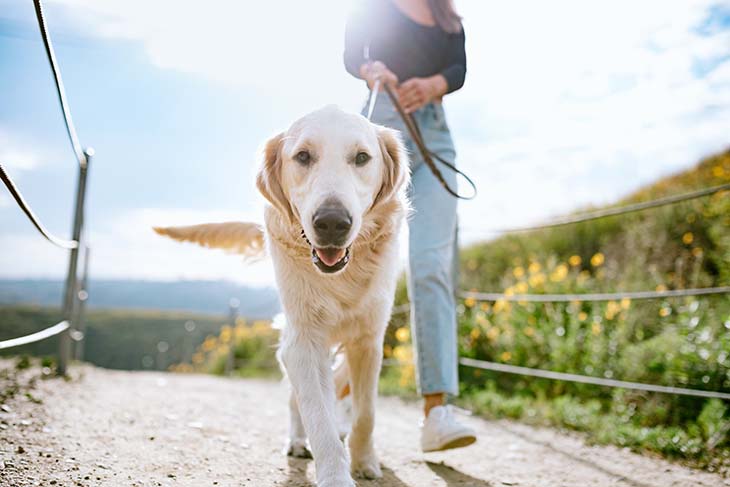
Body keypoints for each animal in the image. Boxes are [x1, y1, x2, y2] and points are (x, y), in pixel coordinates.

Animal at [154, 105, 406, 486]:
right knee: (297, 400)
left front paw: (364, 461)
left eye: (362, 157)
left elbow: (366, 413)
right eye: (303, 156)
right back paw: (298, 441)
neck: (341, 277)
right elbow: (317, 414)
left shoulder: (368, 340)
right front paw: (335, 474)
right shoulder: (302, 341)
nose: (332, 223)